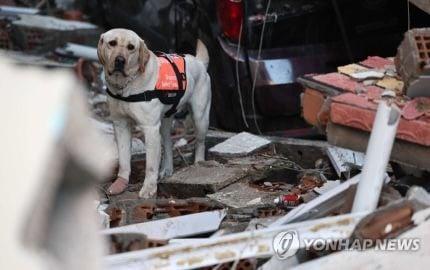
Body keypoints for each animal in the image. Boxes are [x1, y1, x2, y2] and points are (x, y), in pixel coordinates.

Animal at [98, 29, 212, 198]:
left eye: (131, 47)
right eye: (112, 43)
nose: (120, 60)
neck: (127, 87)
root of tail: (198, 61)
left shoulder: (150, 129)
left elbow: (151, 165)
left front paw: (149, 189)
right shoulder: (120, 125)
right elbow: (124, 159)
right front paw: (120, 183)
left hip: (200, 117)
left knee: (200, 142)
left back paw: (198, 164)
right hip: (165, 121)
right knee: (168, 142)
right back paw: (167, 169)